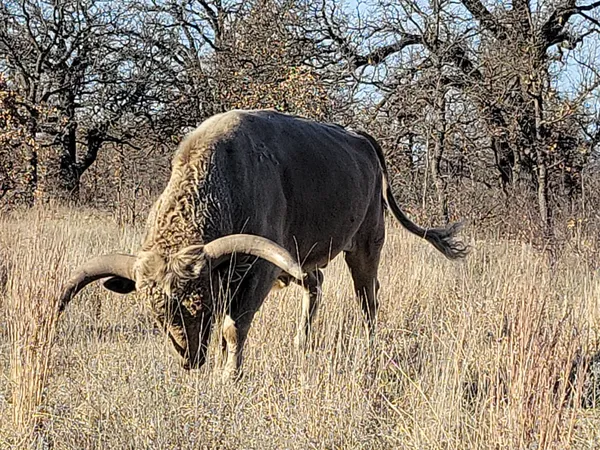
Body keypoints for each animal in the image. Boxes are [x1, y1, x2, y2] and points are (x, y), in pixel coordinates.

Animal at [58, 110, 466, 380]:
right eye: (158, 313)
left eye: (200, 305)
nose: (190, 359)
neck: (225, 179)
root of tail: (360, 139)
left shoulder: (259, 271)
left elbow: (233, 328)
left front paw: (229, 377)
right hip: (306, 255)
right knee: (316, 285)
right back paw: (302, 342)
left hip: (366, 243)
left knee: (368, 298)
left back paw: (367, 348)